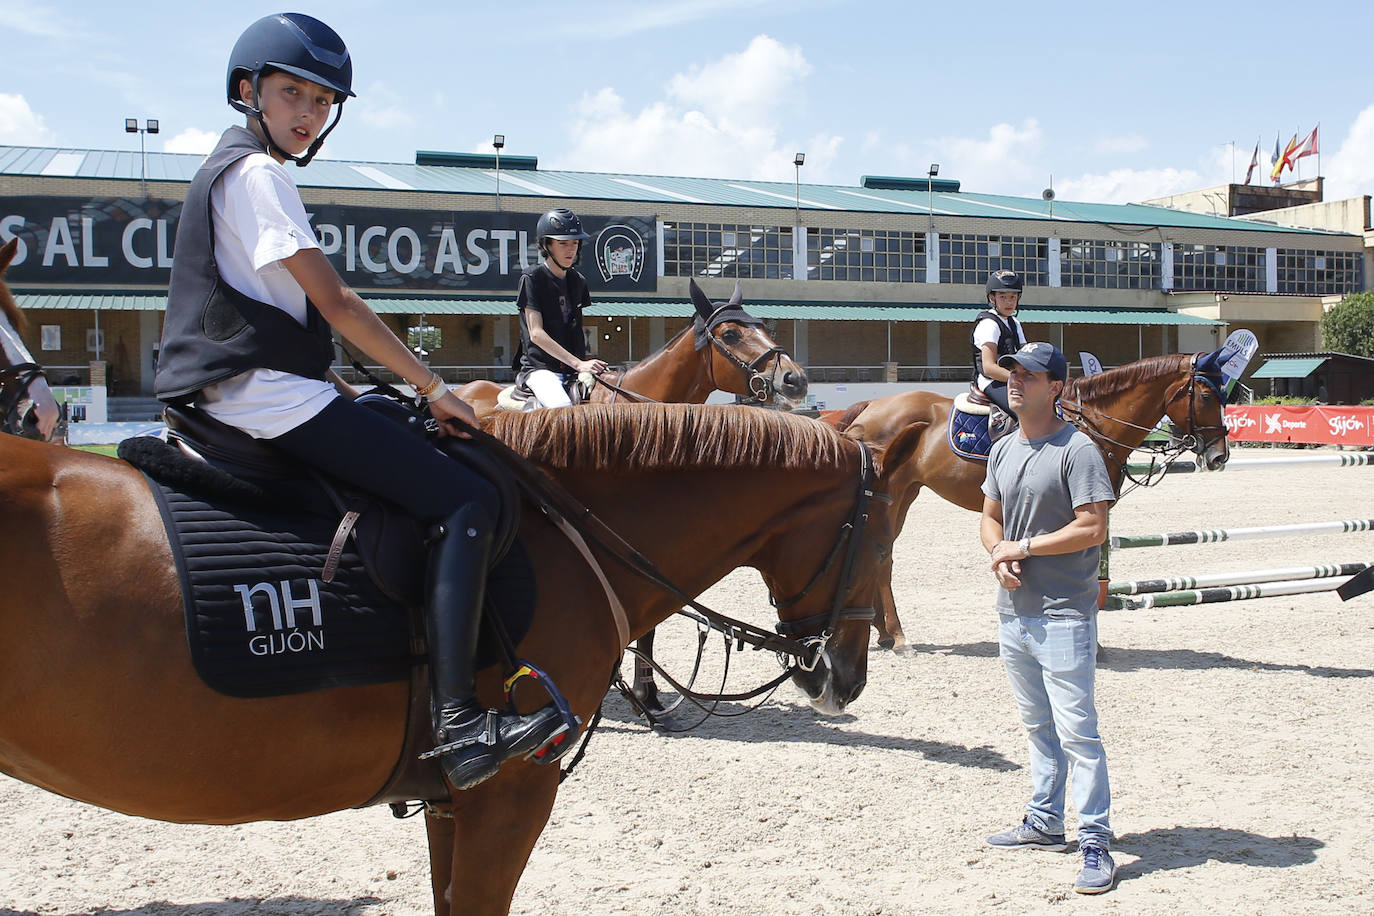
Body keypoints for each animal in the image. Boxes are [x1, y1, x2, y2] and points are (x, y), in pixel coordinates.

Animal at [840, 354, 1231, 650]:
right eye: (1206, 396)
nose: (1219, 456)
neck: (1090, 423)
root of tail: (871, 406)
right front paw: (1091, 644)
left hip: (905, 493)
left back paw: (884, 632)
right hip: (893, 496)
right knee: (883, 558)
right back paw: (897, 636)